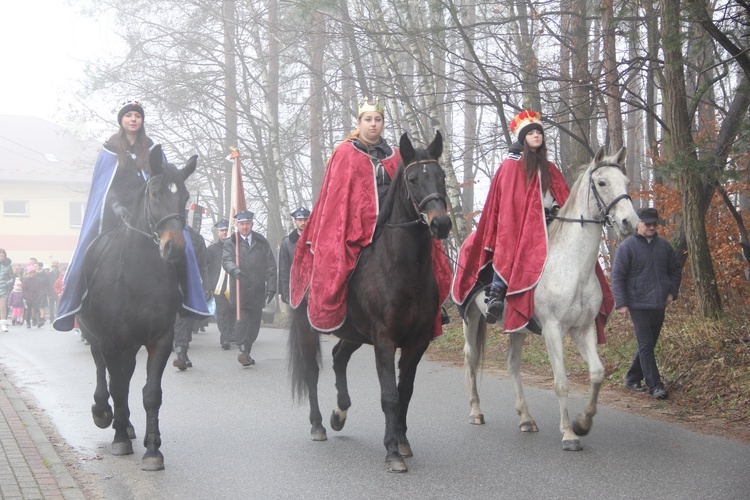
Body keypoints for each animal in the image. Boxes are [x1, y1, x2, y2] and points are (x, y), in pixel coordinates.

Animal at [78, 144, 197, 468]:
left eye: (185, 197)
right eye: (154, 193)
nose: (174, 247)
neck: (138, 275)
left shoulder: (160, 339)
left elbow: (150, 393)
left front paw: (153, 449)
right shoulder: (109, 339)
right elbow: (116, 385)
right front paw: (119, 438)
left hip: (130, 344)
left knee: (125, 376)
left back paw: (126, 423)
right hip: (96, 337)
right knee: (103, 373)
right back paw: (105, 414)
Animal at [288, 131, 452, 470]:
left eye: (441, 176)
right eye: (413, 179)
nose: (441, 224)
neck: (404, 269)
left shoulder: (417, 341)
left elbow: (405, 392)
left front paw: (402, 442)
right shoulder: (385, 340)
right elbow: (389, 396)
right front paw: (391, 452)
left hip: (354, 333)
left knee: (338, 357)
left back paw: (340, 413)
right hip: (308, 330)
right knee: (312, 372)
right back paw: (319, 425)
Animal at [464, 146, 640, 452]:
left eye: (626, 183)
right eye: (602, 182)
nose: (630, 222)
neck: (573, 267)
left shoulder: (583, 329)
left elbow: (597, 372)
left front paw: (583, 423)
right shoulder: (553, 329)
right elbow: (561, 382)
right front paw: (569, 434)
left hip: (516, 326)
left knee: (512, 363)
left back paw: (526, 418)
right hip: (470, 317)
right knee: (472, 357)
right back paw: (476, 412)